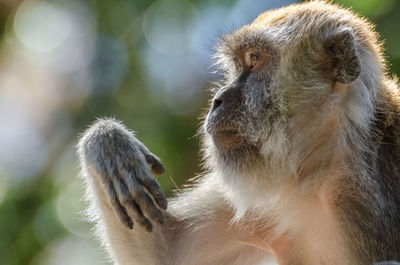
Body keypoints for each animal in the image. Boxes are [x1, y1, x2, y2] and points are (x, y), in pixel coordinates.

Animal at [78, 1, 400, 262]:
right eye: (237, 65)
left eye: (254, 59)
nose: (217, 100)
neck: (324, 163)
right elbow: (167, 251)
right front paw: (108, 143)